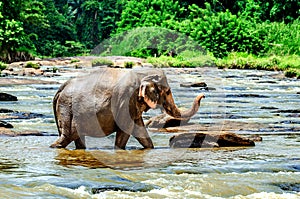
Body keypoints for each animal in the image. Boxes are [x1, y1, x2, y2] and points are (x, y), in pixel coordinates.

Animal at [50, 67, 205, 149]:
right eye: (167, 92)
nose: (203, 95)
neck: (142, 74)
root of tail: (60, 90)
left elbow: (141, 131)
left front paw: (150, 148)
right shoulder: (126, 100)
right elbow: (125, 129)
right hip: (67, 108)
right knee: (67, 136)